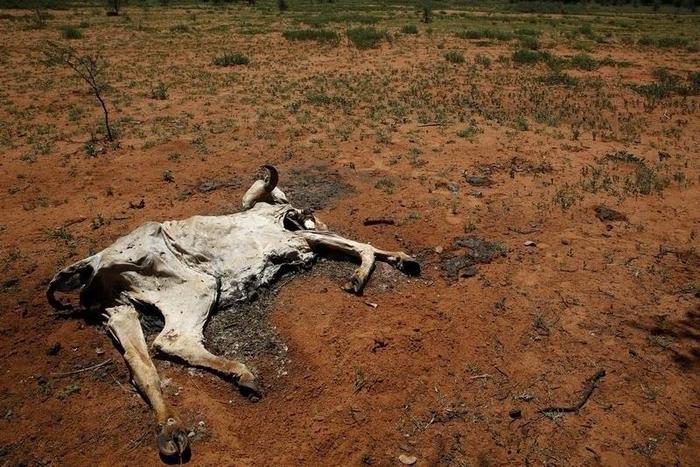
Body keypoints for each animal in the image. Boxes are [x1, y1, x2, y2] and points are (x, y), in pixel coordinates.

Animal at [47, 166, 420, 459]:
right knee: (172, 341)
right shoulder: (295, 238)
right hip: (198, 285)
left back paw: (171, 430)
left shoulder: (300, 237)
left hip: (121, 310)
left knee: (142, 363)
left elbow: (356, 244)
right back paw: (242, 374)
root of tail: (93, 265)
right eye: (288, 200)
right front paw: (365, 273)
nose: (306, 211)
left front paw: (401, 258)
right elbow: (360, 245)